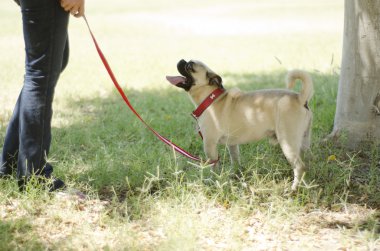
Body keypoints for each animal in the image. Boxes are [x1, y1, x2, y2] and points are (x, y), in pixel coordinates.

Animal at [166, 59, 312, 190]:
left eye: (190, 66)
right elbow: (235, 160)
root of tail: (300, 98)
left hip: (287, 143)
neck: (210, 99)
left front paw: (214, 181)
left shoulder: (209, 145)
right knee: (305, 163)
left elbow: (214, 166)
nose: (181, 60)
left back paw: (294, 188)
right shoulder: (232, 144)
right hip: (302, 141)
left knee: (299, 166)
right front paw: (235, 175)